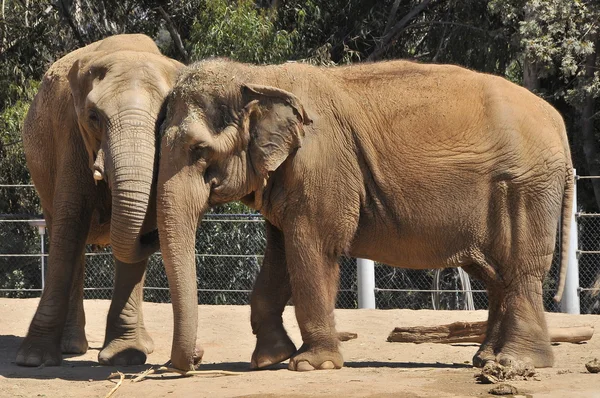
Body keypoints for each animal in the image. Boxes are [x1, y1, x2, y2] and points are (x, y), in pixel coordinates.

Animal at [18, 33, 183, 366]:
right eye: (94, 118)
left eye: (163, 119)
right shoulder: (70, 132)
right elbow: (70, 224)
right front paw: (33, 359)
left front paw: (124, 357)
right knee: (67, 238)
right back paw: (71, 347)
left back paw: (142, 347)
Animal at [157, 58, 576, 370]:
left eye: (199, 150)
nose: (196, 358)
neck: (260, 76)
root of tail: (558, 122)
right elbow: (278, 255)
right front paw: (269, 360)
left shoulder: (322, 167)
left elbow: (311, 246)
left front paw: (310, 365)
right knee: (494, 274)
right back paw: (486, 359)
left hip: (525, 186)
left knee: (520, 269)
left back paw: (516, 363)